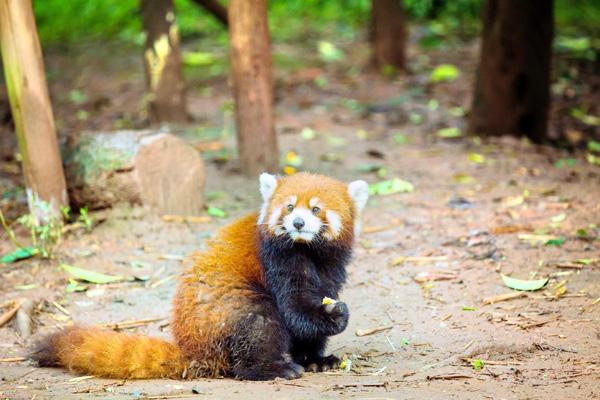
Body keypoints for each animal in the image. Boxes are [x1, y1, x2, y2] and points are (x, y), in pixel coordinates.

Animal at [35, 173, 370, 382]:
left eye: (316, 209)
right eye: (289, 207)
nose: (298, 223)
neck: (309, 250)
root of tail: (194, 349)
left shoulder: (331, 266)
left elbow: (314, 308)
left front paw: (314, 358)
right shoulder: (277, 258)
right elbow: (295, 307)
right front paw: (334, 316)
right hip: (230, 309)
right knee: (260, 323)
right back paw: (272, 368)